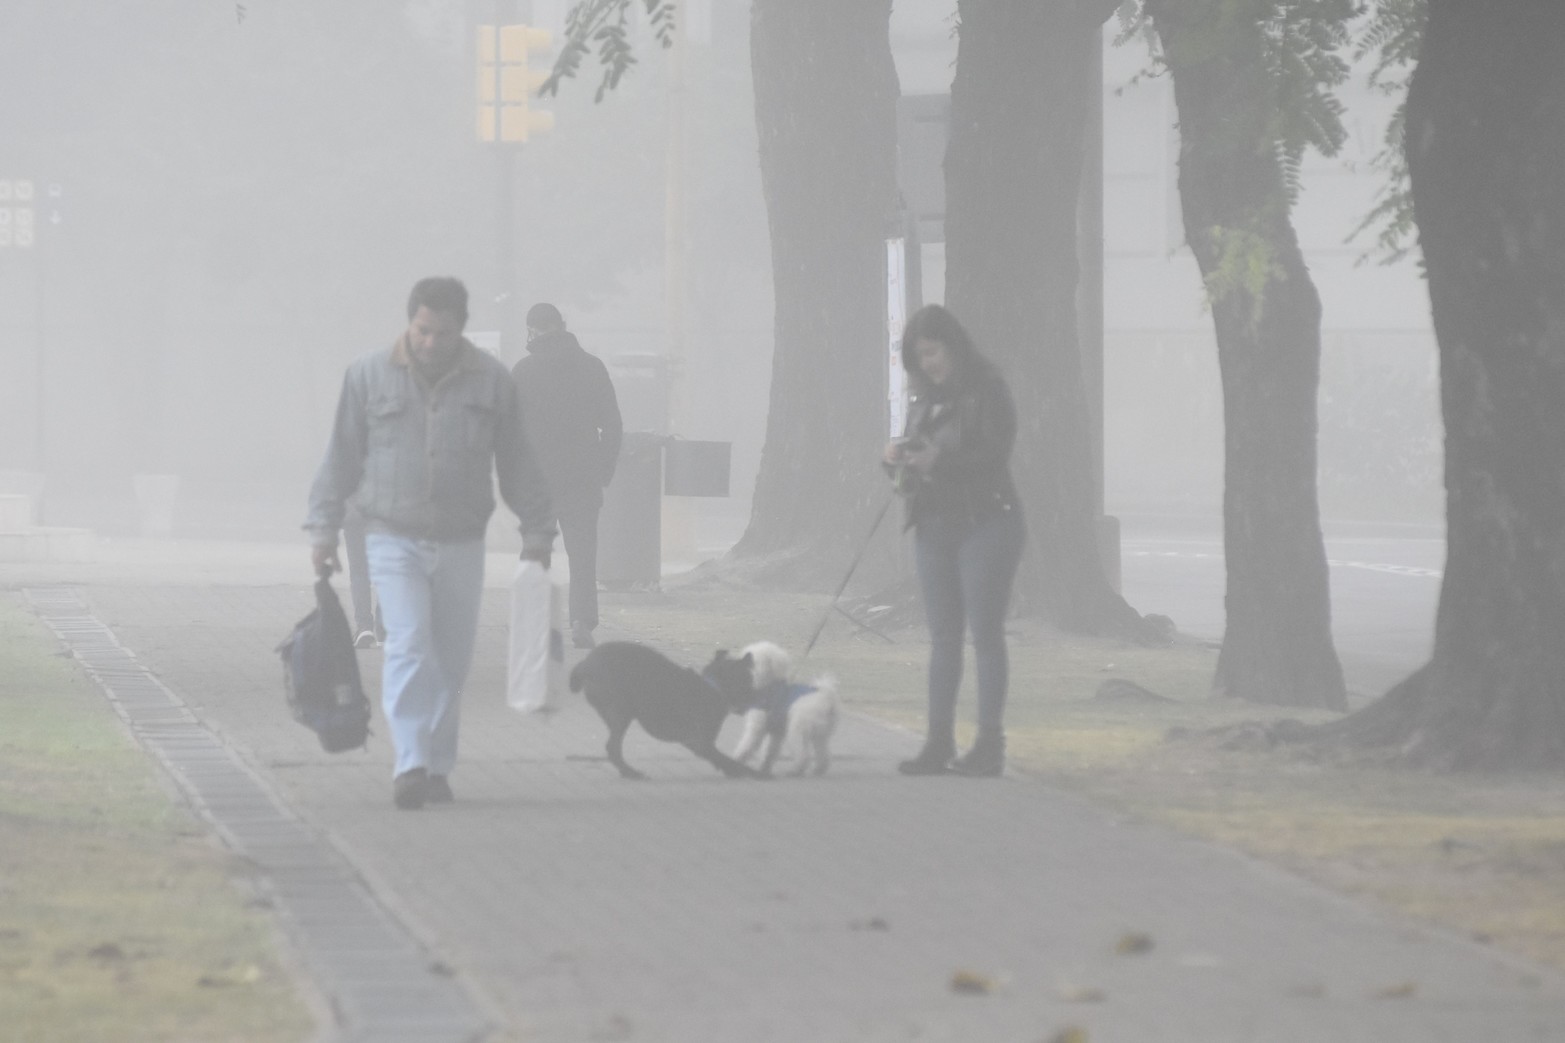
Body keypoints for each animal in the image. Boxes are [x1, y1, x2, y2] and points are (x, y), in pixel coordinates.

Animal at [572, 638, 766, 776]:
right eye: (748, 679)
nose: (760, 696)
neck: (713, 687)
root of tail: (585, 664)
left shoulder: (698, 744)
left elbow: (722, 760)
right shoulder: (699, 742)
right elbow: (727, 760)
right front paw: (751, 773)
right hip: (621, 712)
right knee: (612, 747)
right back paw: (630, 773)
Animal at [726, 638, 838, 776]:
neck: (768, 685)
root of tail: (827, 698)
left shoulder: (758, 726)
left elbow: (748, 743)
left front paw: (737, 759)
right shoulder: (776, 732)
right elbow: (770, 751)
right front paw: (764, 768)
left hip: (798, 728)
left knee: (803, 753)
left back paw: (795, 771)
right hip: (820, 733)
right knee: (823, 753)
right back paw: (818, 770)